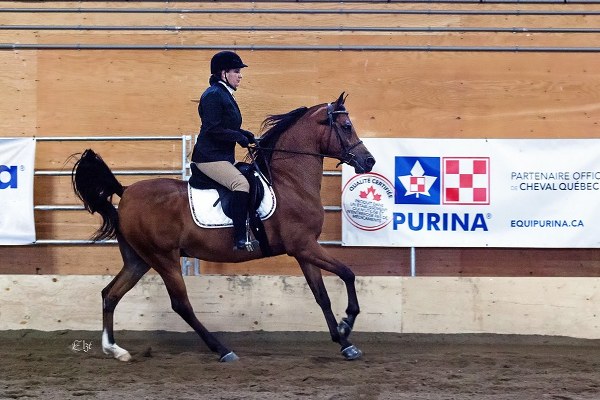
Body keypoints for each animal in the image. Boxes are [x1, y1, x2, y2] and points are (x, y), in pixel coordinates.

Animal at [71, 92, 376, 362]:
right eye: (346, 126)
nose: (368, 161)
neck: (290, 182)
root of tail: (126, 193)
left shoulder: (304, 250)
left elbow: (322, 295)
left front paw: (344, 342)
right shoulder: (304, 246)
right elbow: (348, 273)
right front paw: (347, 323)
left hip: (139, 259)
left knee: (110, 294)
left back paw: (114, 349)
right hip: (163, 258)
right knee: (181, 305)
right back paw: (222, 350)